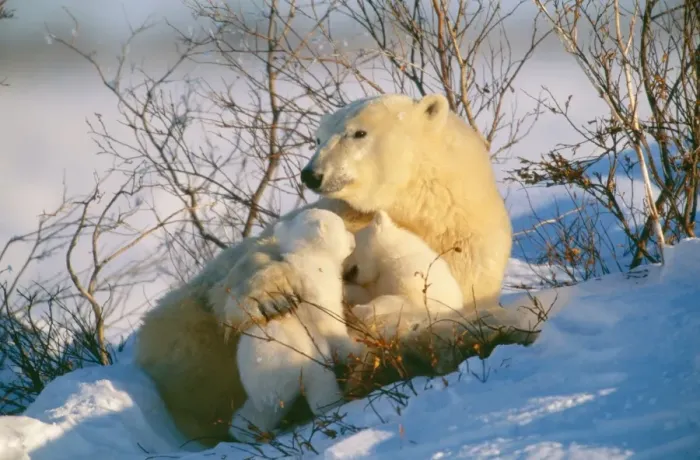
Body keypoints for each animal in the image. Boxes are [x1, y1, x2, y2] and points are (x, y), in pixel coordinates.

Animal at [224, 209, 360, 442]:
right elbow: (329, 323)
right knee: (320, 385)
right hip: (301, 359)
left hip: (262, 393)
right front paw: (354, 344)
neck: (308, 256)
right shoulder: (318, 286)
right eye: (342, 226)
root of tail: (270, 390)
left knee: (256, 414)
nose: (353, 238)